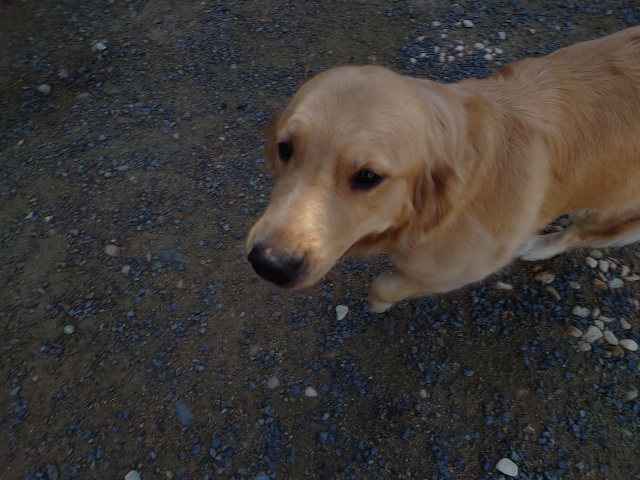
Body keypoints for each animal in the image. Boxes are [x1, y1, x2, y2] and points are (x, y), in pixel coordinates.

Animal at [247, 26, 640, 313]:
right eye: (285, 148)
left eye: (368, 177)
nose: (268, 264)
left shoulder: (459, 270)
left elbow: (385, 284)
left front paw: (378, 303)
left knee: (581, 232)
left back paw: (538, 246)